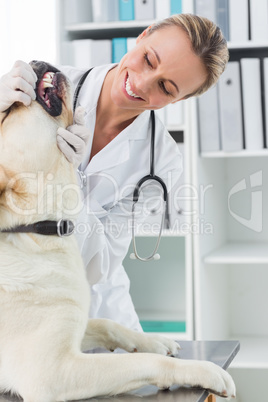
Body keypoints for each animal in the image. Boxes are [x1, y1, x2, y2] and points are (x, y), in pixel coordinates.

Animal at [0, 60, 234, 402]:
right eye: (7, 111)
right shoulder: (52, 373)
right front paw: (202, 370)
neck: (36, 231)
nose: (30, 61)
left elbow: (108, 323)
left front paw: (154, 341)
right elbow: (144, 363)